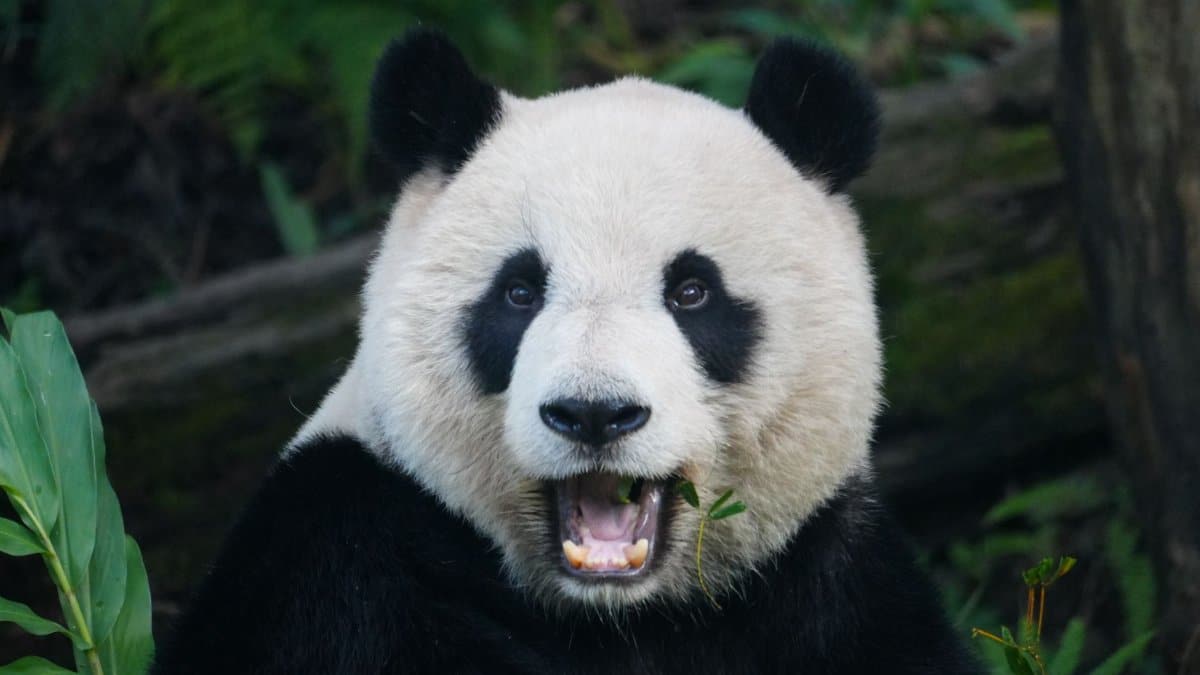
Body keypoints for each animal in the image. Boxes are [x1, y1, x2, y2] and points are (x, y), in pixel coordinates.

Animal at [154, 29, 980, 674]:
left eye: (692, 291)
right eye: (520, 292)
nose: (593, 413)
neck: (618, 614)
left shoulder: (830, 583)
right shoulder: (334, 560)